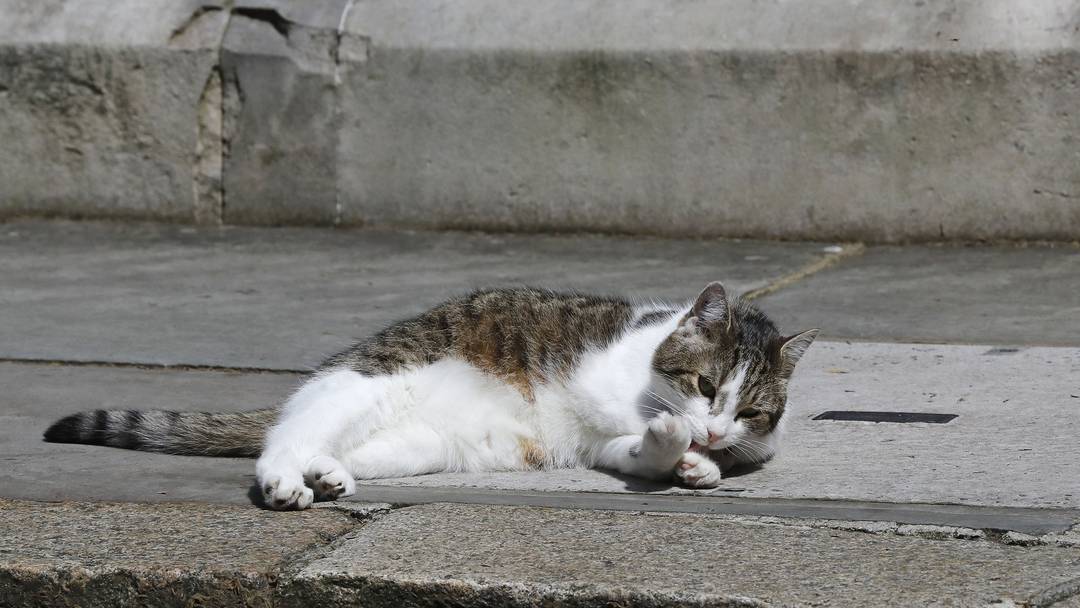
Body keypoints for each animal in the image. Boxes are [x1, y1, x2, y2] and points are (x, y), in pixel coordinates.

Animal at [44, 282, 816, 511]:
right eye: (707, 385)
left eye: (752, 411)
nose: (716, 430)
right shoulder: (604, 390)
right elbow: (642, 422)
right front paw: (684, 443)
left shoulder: (612, 449)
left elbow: (642, 452)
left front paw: (696, 463)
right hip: (366, 388)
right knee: (280, 440)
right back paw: (287, 480)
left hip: (423, 445)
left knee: (338, 450)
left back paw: (328, 475)